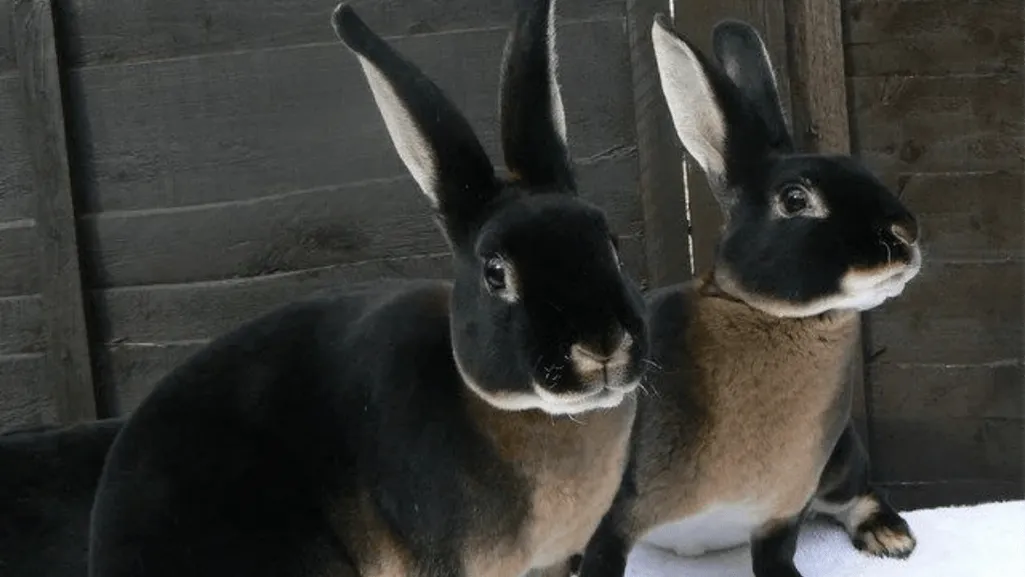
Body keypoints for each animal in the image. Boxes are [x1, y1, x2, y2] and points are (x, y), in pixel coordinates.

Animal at [559, 14, 922, 577]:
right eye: (794, 199)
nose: (905, 234)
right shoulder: (612, 518)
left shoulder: (781, 513)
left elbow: (775, 557)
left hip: (840, 458)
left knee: (859, 492)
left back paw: (891, 537)